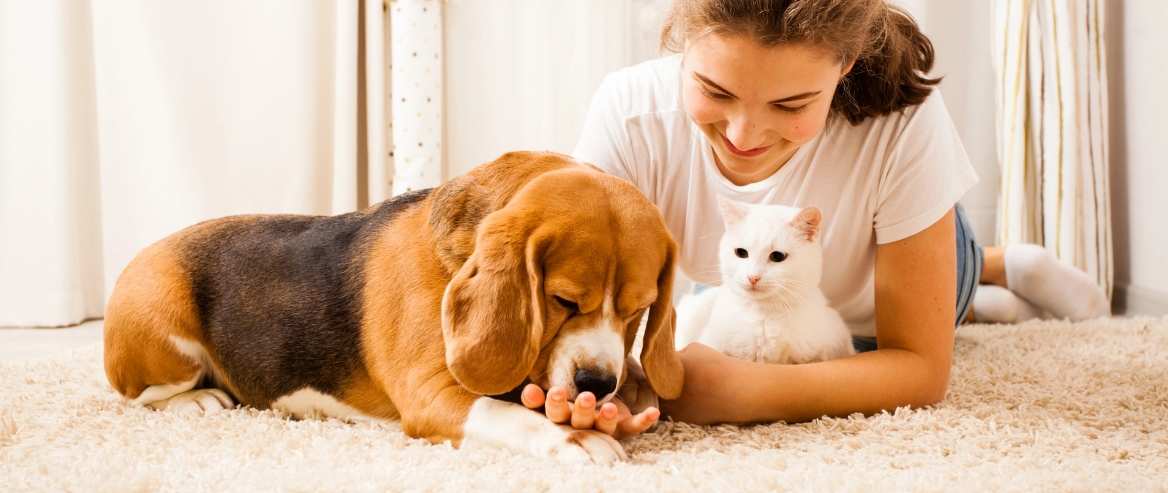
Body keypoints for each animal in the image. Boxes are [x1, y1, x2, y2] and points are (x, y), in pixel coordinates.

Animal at [103, 151, 682, 464]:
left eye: (637, 310)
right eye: (563, 300)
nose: (596, 385)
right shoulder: (431, 396)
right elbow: (505, 413)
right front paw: (576, 438)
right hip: (162, 332)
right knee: (140, 396)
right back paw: (199, 400)